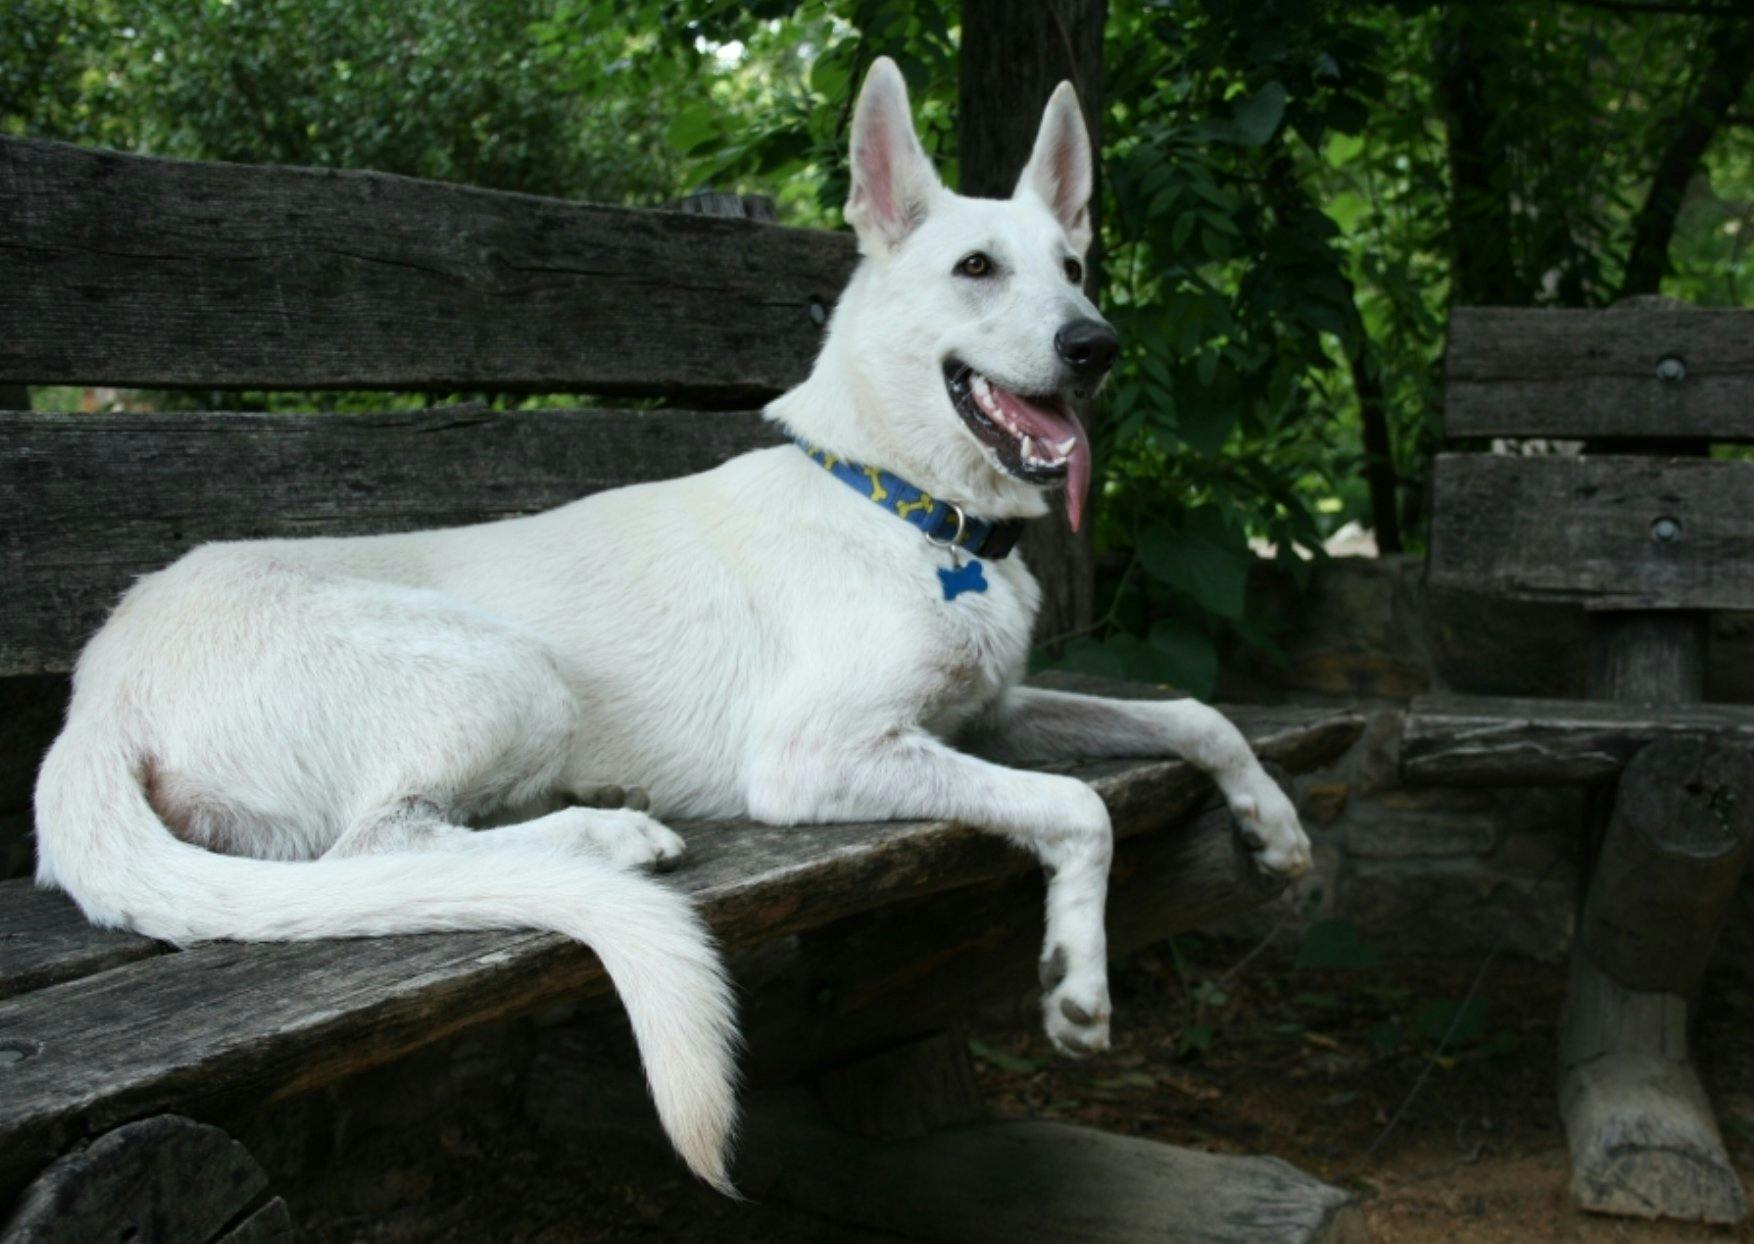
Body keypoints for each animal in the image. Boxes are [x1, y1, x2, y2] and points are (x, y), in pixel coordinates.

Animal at [34, 60, 1311, 1193]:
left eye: (1075, 265)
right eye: (976, 267)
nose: (1095, 346)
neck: (901, 502)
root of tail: (97, 690)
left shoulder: (986, 714)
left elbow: (1193, 711)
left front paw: (1273, 823)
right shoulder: (816, 756)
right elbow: (1076, 808)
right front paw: (1075, 980)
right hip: (509, 668)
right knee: (375, 848)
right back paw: (606, 833)